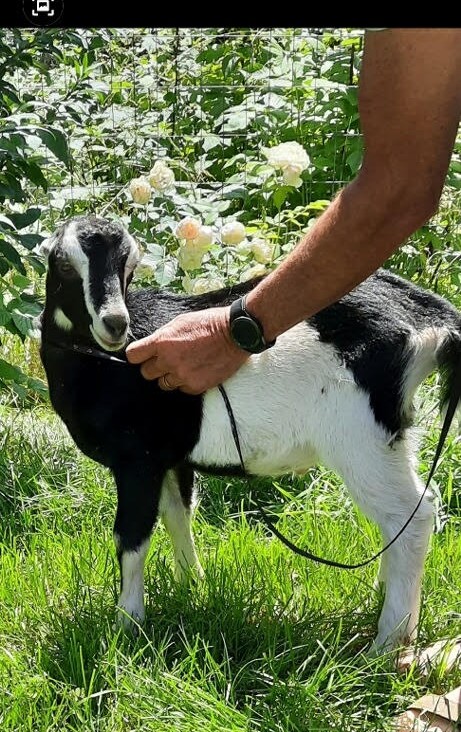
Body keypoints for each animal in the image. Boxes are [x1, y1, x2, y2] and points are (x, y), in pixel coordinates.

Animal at [39, 214, 461, 652]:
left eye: (130, 266)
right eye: (63, 264)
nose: (115, 323)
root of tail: (430, 319)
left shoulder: (136, 459)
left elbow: (131, 538)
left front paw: (127, 624)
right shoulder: (169, 456)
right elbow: (177, 514)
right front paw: (191, 586)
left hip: (362, 435)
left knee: (412, 514)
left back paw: (388, 641)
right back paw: (381, 600)